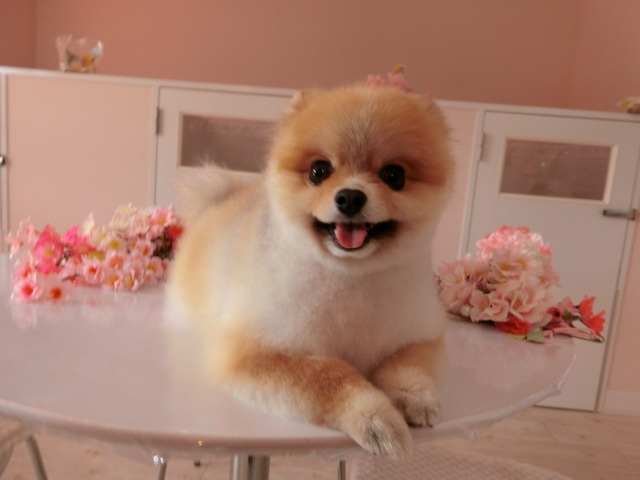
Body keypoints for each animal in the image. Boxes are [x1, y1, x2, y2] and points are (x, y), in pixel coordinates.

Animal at [166, 84, 453, 457]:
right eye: (319, 171)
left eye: (394, 176)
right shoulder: (256, 354)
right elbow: (329, 377)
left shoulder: (419, 335)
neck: (350, 276)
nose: (350, 197)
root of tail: (222, 199)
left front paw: (415, 400)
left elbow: (406, 367)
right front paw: (377, 419)